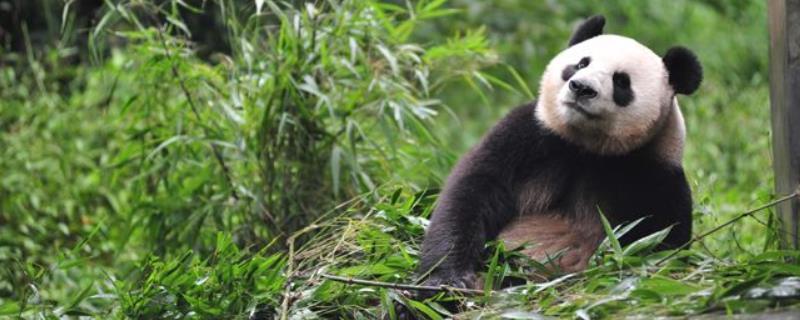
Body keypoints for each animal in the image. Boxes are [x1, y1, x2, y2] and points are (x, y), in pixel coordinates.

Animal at [416, 15, 704, 292]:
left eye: (621, 81)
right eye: (581, 64)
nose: (581, 87)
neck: (589, 146)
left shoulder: (656, 175)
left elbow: (657, 246)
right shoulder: (530, 135)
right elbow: (472, 193)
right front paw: (446, 280)